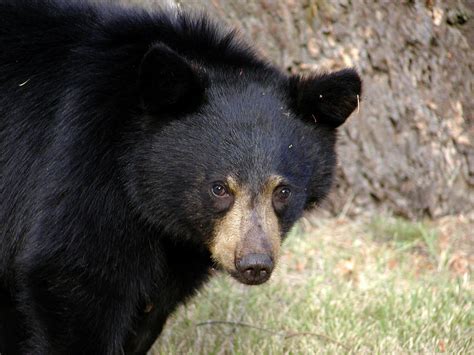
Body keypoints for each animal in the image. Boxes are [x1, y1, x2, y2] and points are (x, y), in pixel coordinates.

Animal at [0, 0, 362, 355]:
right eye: (219, 188)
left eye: (283, 191)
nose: (255, 263)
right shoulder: (79, 164)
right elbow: (73, 275)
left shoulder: (181, 246)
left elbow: (149, 309)